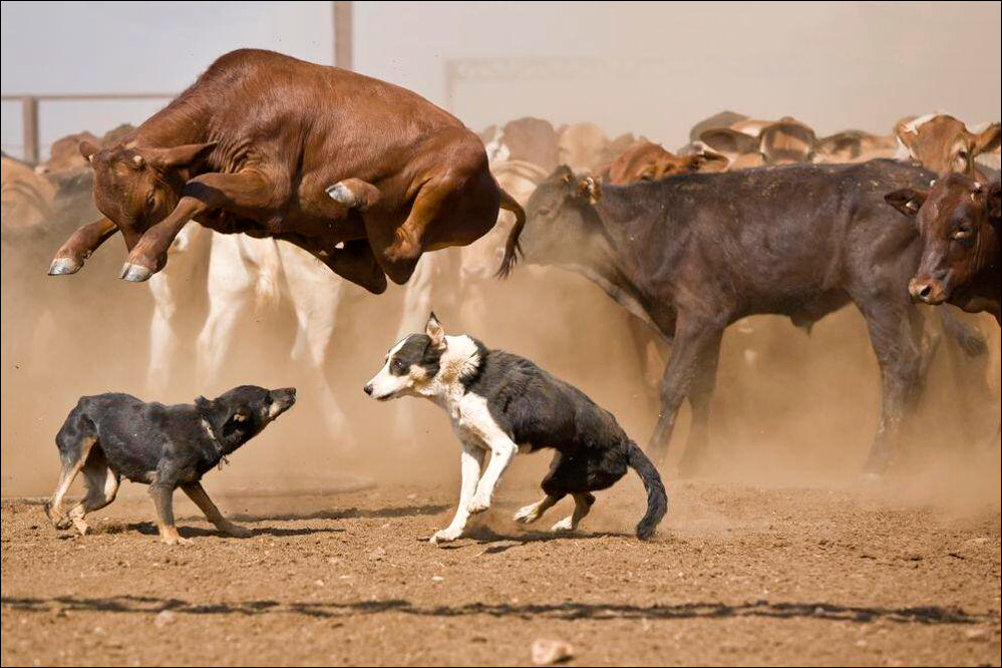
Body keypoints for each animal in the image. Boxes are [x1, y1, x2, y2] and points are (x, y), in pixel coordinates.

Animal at [45, 386, 294, 544]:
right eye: (267, 398)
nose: (292, 389)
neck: (208, 427)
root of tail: (82, 401)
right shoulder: (162, 485)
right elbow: (167, 515)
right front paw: (174, 539)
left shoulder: (190, 481)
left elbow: (212, 509)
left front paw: (233, 530)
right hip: (77, 453)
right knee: (53, 501)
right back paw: (57, 517)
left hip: (107, 489)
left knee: (76, 508)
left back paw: (79, 526)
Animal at [47, 48, 525, 294]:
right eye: (106, 203)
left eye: (148, 198)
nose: (153, 259)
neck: (229, 111)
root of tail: (496, 185)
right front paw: (69, 251)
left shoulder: (269, 184)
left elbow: (201, 186)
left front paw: (142, 257)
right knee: (373, 273)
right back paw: (325, 234)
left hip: (453, 170)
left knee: (401, 255)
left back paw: (352, 193)